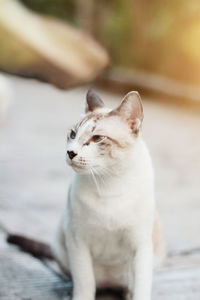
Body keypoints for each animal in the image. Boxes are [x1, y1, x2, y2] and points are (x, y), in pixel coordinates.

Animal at [52, 89, 166, 300]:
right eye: (73, 134)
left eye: (97, 138)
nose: (70, 152)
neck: (108, 183)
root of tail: (109, 283)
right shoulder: (78, 240)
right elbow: (85, 284)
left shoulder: (140, 244)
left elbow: (141, 288)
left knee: (129, 286)